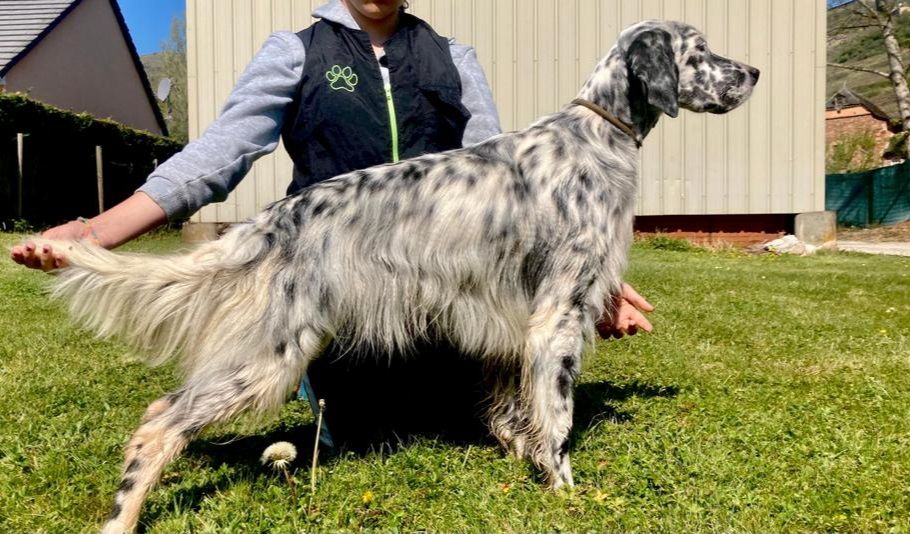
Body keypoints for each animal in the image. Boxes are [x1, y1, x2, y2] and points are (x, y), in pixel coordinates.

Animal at [32, 19, 756, 532]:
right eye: (699, 51)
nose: (753, 70)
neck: (593, 136)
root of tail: (271, 222)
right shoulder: (558, 316)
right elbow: (555, 419)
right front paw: (566, 490)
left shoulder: (511, 321)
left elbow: (515, 412)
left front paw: (521, 460)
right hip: (269, 354)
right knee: (159, 422)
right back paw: (122, 519)